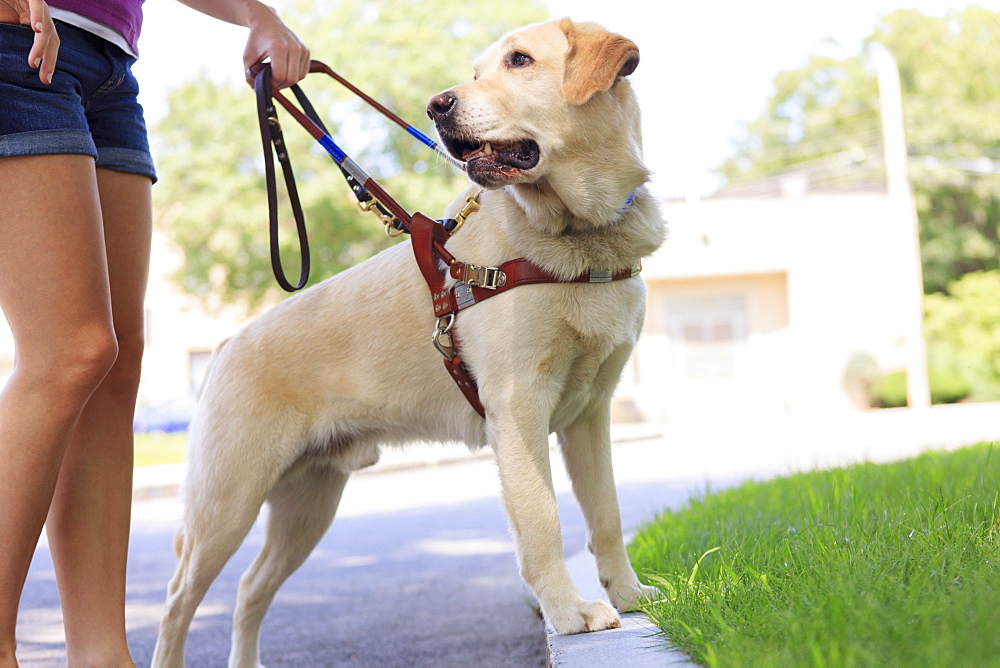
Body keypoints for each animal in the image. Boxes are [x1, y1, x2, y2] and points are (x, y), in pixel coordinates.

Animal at [152, 18, 664, 664]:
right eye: (477, 72)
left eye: (519, 61)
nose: (437, 106)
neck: (575, 235)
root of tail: (225, 347)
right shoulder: (518, 407)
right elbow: (542, 520)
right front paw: (571, 614)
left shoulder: (592, 414)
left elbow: (607, 515)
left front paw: (629, 595)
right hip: (227, 503)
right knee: (177, 601)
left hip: (308, 504)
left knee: (249, 589)